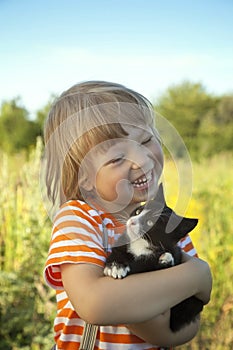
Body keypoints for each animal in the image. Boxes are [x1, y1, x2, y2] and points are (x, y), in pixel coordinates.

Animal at [104, 183, 204, 330]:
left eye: (150, 222)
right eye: (138, 212)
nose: (132, 221)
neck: (140, 244)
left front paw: (163, 259)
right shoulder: (122, 242)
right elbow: (118, 252)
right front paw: (115, 266)